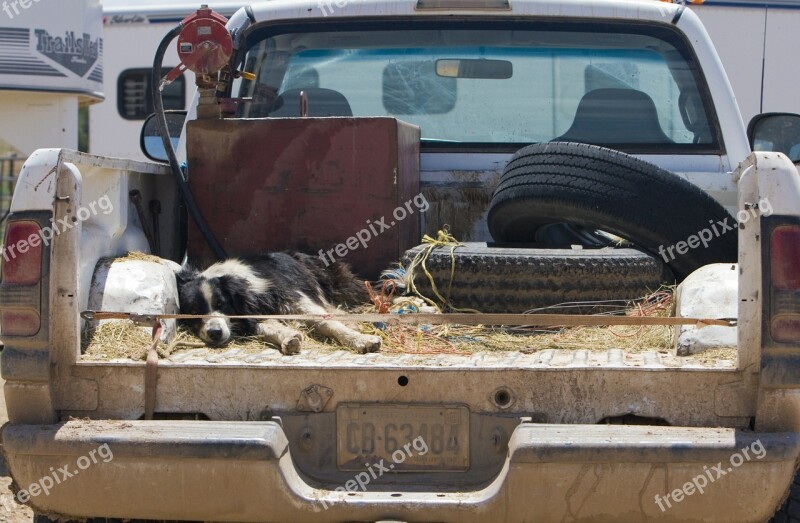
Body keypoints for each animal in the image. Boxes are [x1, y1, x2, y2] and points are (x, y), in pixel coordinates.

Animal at [177, 254, 382, 356]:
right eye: (193, 312)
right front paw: (289, 338)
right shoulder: (251, 314)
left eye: (221, 303)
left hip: (340, 284)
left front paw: (361, 340)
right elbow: (267, 327)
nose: (215, 333)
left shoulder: (295, 299)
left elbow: (328, 322)